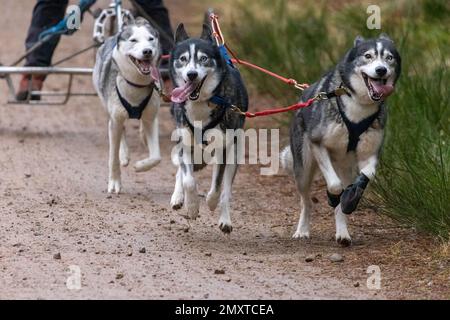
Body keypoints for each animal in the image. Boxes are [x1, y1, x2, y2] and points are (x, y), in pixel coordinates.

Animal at [92, 17, 162, 194]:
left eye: (151, 39)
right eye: (133, 40)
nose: (147, 51)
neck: (136, 84)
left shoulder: (151, 117)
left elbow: (156, 157)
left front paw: (141, 166)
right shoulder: (115, 118)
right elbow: (112, 157)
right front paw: (114, 181)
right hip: (107, 106)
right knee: (119, 129)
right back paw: (124, 154)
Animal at [169, 23, 248, 232]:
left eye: (203, 58)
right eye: (183, 59)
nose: (191, 74)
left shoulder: (223, 149)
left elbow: (218, 185)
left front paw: (211, 202)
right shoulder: (186, 145)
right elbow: (188, 180)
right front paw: (192, 206)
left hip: (234, 154)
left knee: (226, 190)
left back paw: (225, 219)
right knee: (181, 172)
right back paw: (178, 197)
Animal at [282, 34, 400, 245]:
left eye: (389, 58)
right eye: (368, 56)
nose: (381, 70)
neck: (359, 105)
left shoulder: (370, 154)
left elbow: (367, 175)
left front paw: (351, 197)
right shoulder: (318, 144)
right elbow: (334, 185)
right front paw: (331, 195)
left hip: (345, 167)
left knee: (340, 204)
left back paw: (343, 233)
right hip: (303, 169)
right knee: (307, 202)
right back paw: (303, 230)